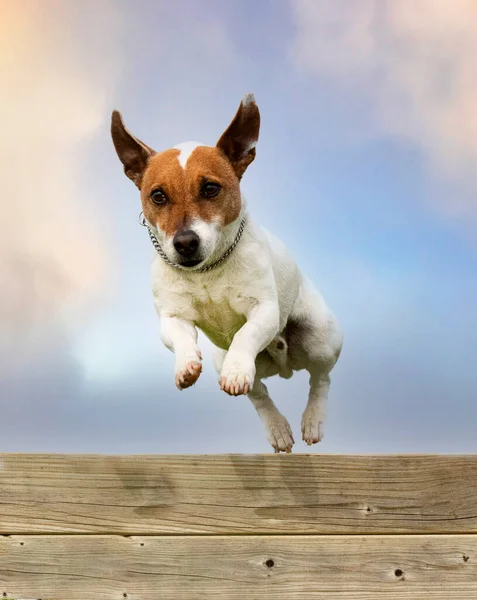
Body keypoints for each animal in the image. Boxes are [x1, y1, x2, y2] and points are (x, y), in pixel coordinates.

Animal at [111, 92, 342, 450]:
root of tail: (284, 366)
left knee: (320, 379)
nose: (185, 243)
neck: (206, 272)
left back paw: (312, 420)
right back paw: (276, 426)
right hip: (226, 359)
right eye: (158, 196)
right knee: (259, 394)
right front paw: (186, 365)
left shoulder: (264, 310)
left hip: (320, 339)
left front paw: (236, 370)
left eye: (210, 189)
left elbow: (246, 334)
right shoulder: (172, 317)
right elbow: (181, 338)